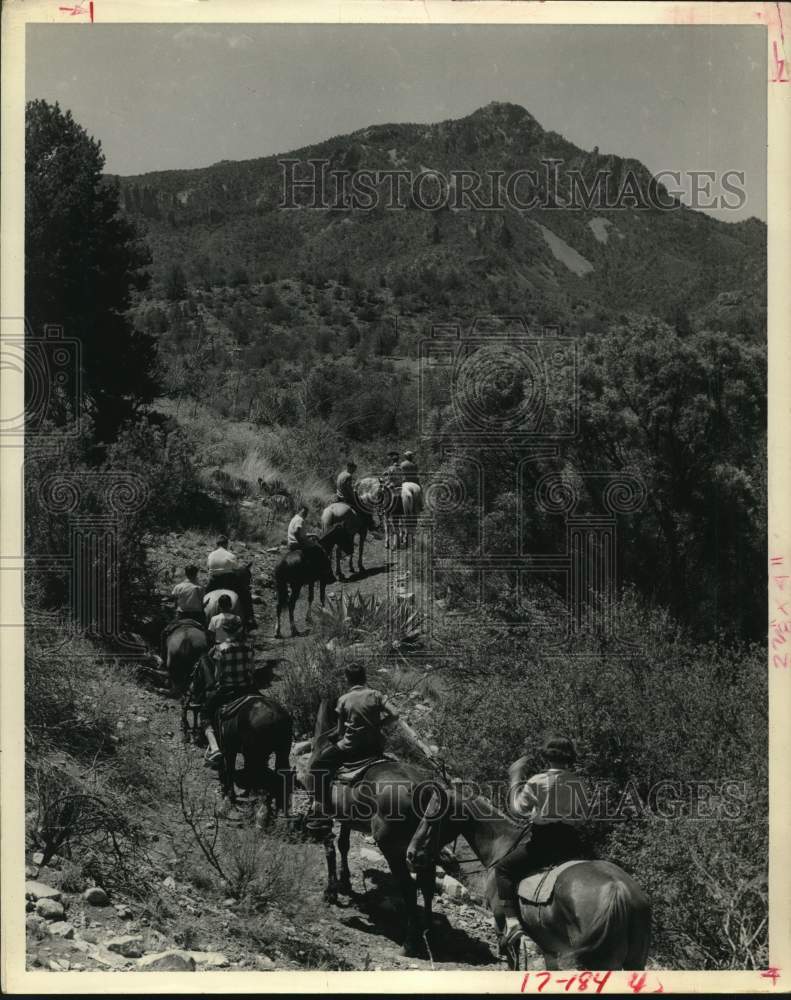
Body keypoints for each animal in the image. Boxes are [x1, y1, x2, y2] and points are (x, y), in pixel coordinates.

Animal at [306, 700, 442, 956]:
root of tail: (424, 789)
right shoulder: (347, 818)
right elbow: (344, 844)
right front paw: (345, 883)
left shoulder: (327, 816)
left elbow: (330, 848)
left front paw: (331, 891)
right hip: (426, 847)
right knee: (427, 885)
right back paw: (429, 933)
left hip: (392, 848)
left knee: (409, 888)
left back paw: (410, 942)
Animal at [408, 784, 648, 972]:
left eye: (432, 816)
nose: (411, 853)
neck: (502, 844)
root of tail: (619, 889)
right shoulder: (547, 942)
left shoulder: (501, 923)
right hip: (633, 961)